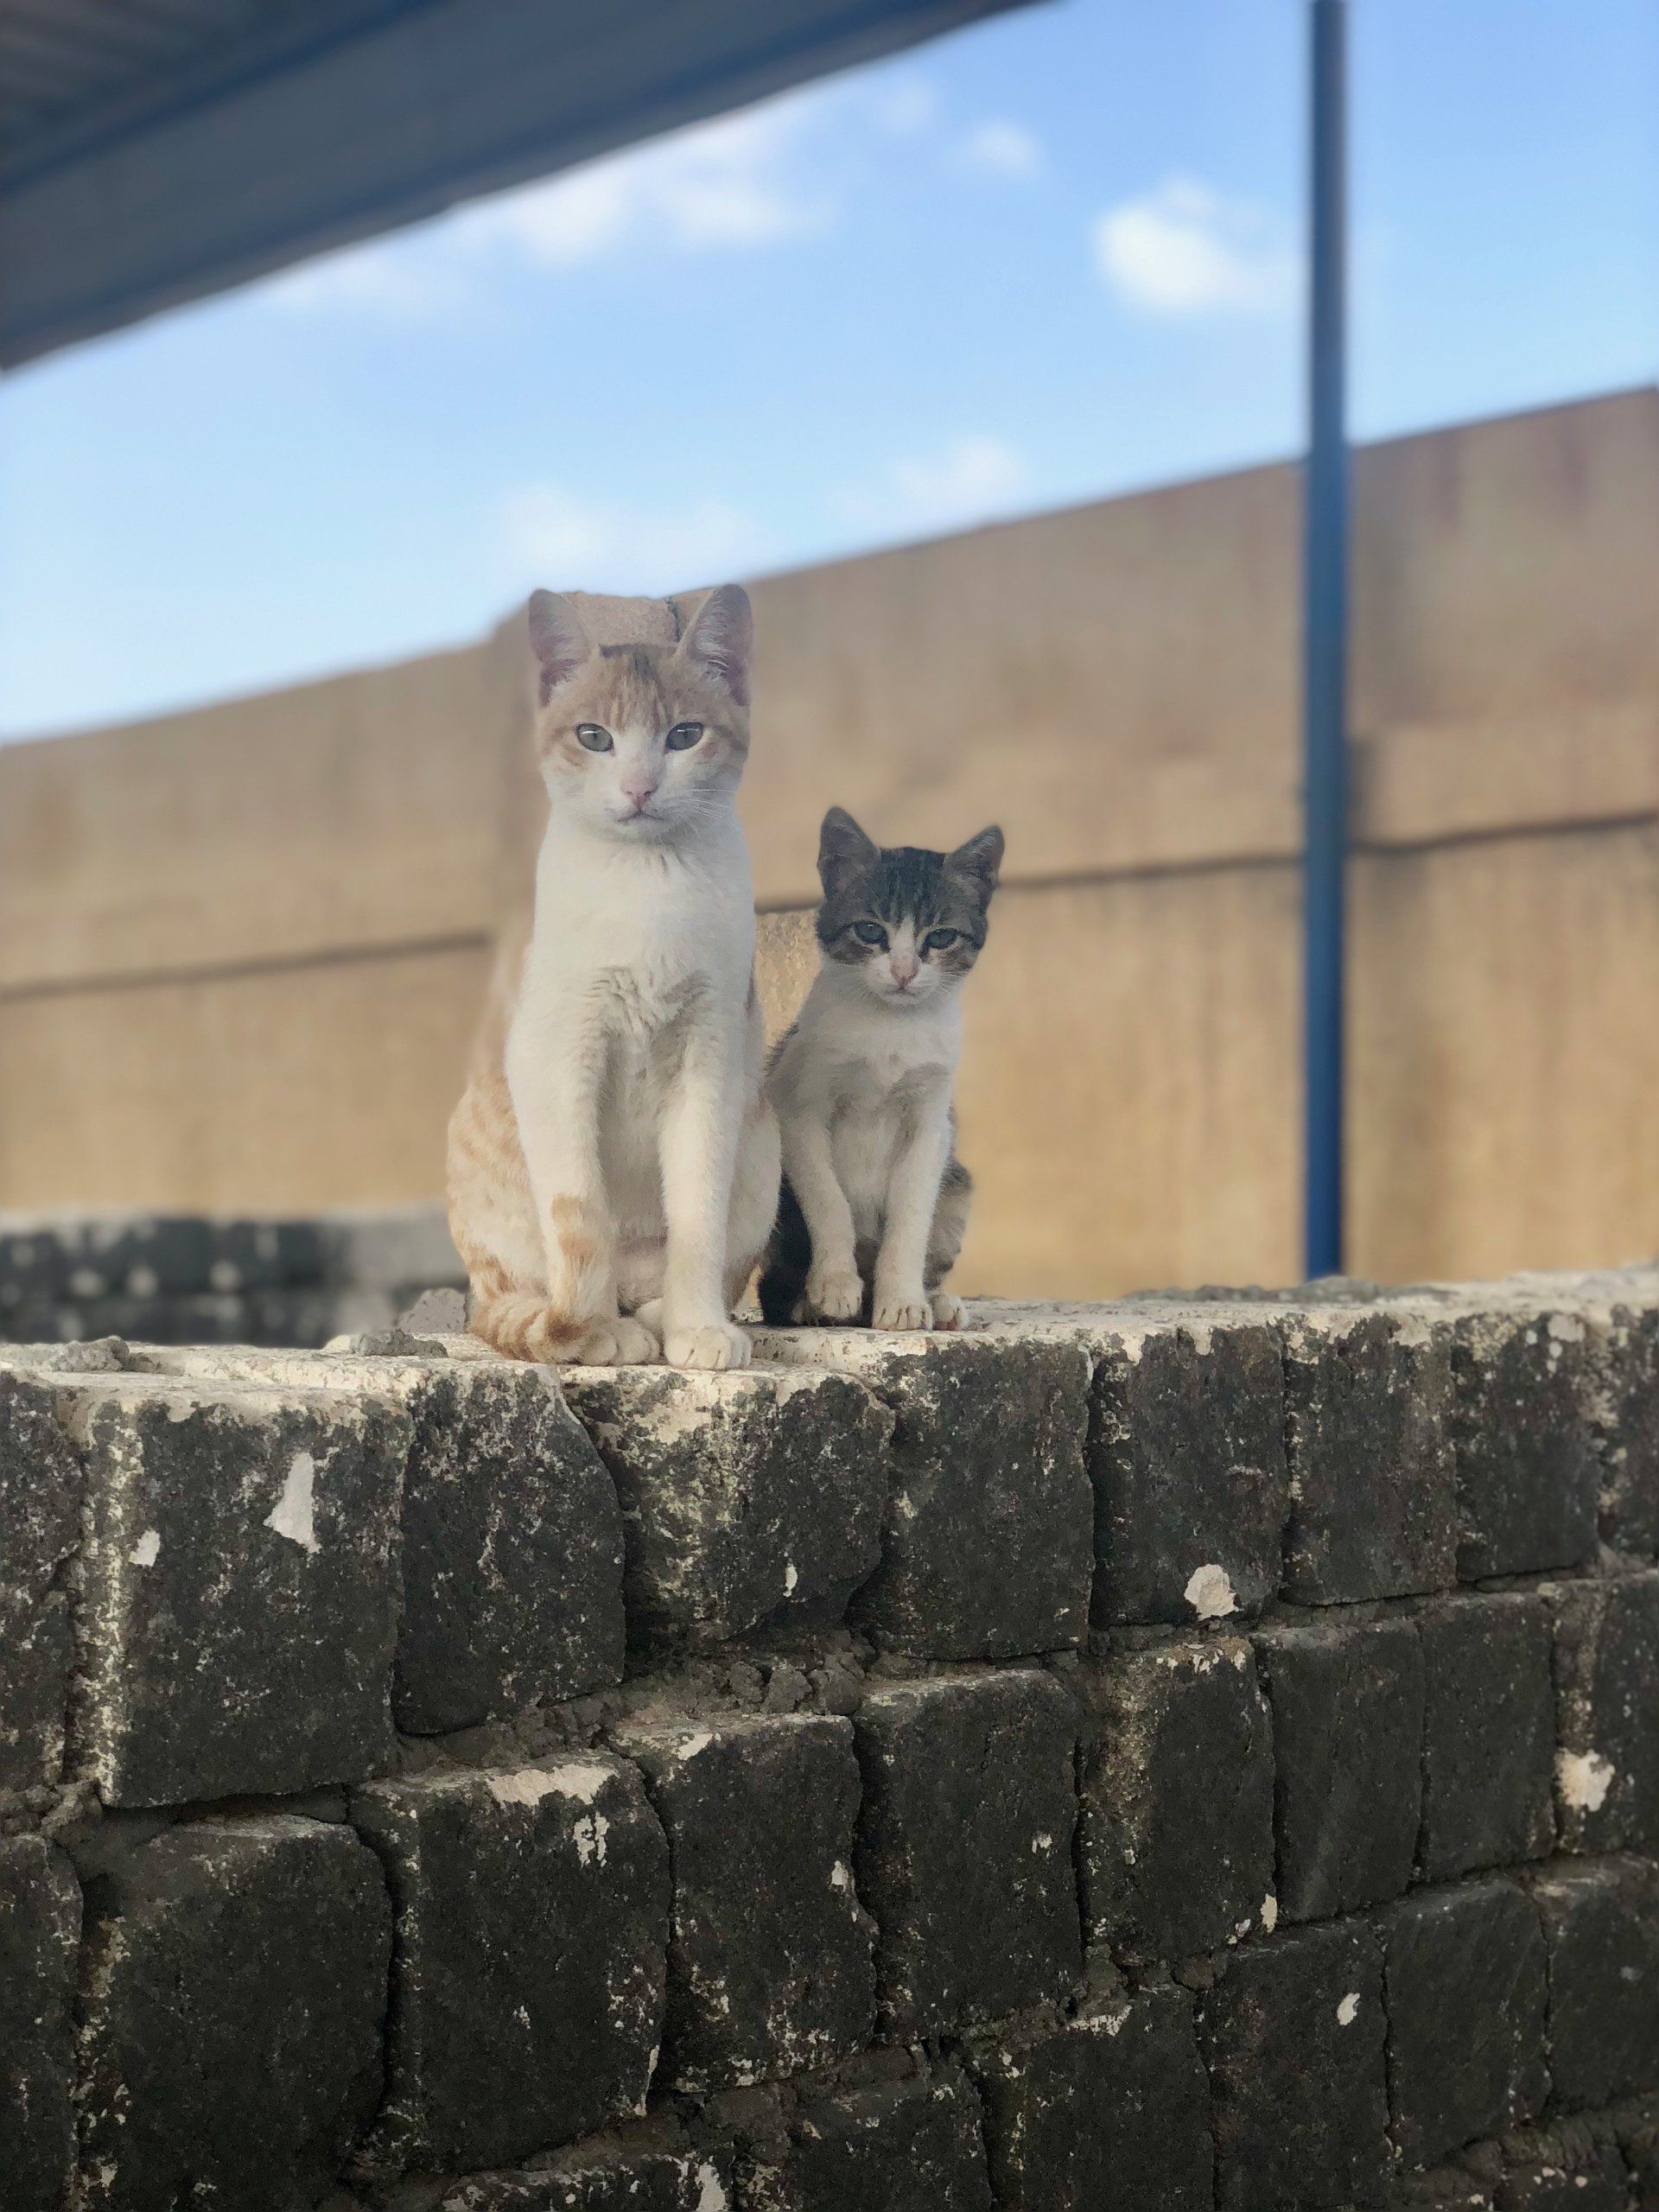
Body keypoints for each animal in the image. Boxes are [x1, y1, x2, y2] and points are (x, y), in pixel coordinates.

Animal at [447, 585, 780, 1370]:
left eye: (685, 735)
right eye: (594, 737)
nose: (638, 788)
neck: (648, 886)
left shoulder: (710, 1058)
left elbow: (698, 1214)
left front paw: (698, 1330)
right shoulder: (559, 1057)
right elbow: (581, 1216)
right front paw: (591, 1333)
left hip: (766, 1150)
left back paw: (661, 1317)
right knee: (518, 1294)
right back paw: (605, 1323)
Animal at [759, 807, 1003, 1331]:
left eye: (941, 937)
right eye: (870, 932)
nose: (904, 972)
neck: (890, 1027)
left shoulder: (932, 1125)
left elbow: (911, 1218)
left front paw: (904, 1301)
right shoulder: (799, 1109)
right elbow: (829, 1201)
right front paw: (833, 1286)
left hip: (958, 1185)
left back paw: (937, 1302)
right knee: (773, 1287)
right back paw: (809, 1303)